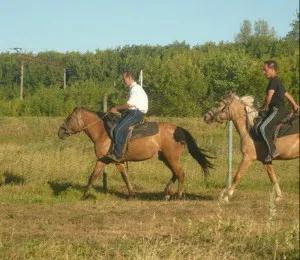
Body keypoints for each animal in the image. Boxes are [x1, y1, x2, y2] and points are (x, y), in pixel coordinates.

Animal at [58, 106, 213, 200]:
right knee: (175, 173)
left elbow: (93, 176)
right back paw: (165, 194)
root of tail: (179, 129)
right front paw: (131, 194)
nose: (60, 132)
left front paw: (84, 196)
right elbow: (124, 177)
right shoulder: (117, 161)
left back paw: (178, 195)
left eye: (69, 118)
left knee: (180, 173)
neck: (103, 132)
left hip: (171, 158)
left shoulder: (103, 159)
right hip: (165, 158)